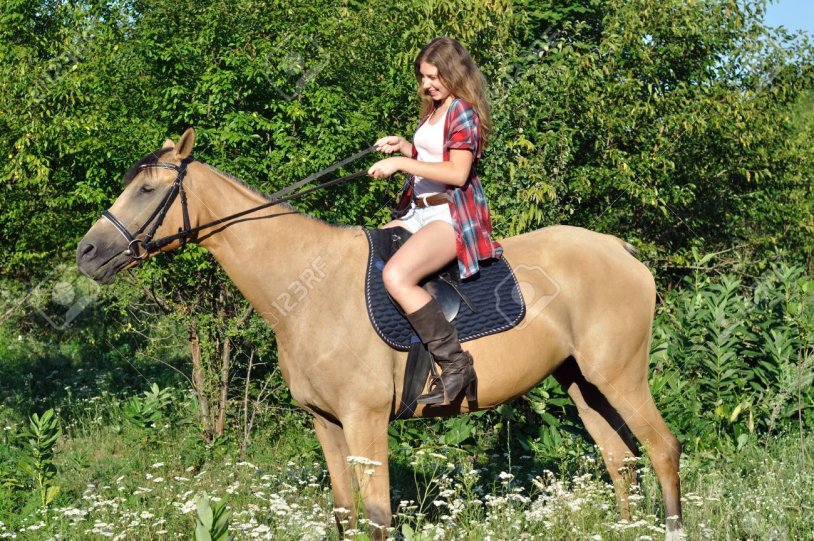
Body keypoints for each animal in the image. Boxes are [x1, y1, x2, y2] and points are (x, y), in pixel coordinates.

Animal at [76, 128, 683, 540]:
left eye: (147, 188)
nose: (88, 253)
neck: (307, 287)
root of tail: (621, 250)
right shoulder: (326, 422)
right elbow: (346, 516)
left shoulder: (364, 421)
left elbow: (376, 520)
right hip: (582, 383)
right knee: (621, 461)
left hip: (620, 377)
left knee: (661, 449)